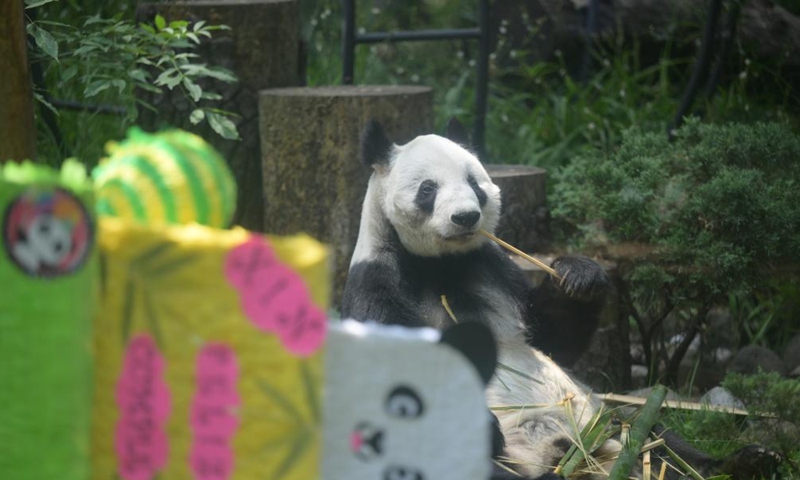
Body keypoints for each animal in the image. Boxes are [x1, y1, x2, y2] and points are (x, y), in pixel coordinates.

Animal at [342, 119, 780, 480]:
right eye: (428, 189)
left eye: (475, 184)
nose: (465, 217)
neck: (438, 265)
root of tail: (562, 453)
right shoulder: (377, 282)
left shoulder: (492, 270)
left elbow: (552, 338)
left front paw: (578, 276)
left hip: (601, 416)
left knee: (655, 435)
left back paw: (746, 461)